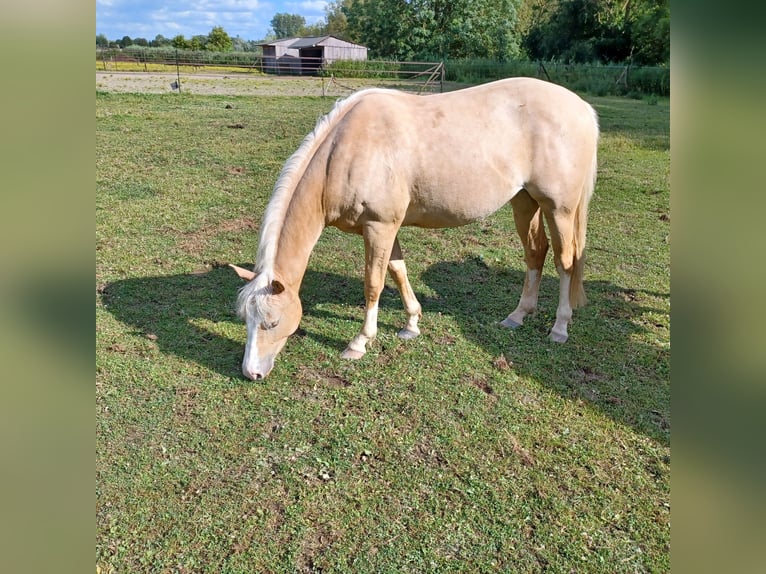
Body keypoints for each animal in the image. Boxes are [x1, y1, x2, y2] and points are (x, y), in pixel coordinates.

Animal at [230, 77, 600, 382]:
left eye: (272, 322)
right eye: (245, 319)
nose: (251, 373)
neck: (346, 151)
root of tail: (582, 108)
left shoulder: (379, 226)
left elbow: (374, 284)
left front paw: (359, 342)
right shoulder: (386, 227)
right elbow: (398, 270)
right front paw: (411, 324)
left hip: (559, 209)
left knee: (566, 262)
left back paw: (560, 327)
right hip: (525, 202)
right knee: (536, 253)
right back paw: (518, 315)